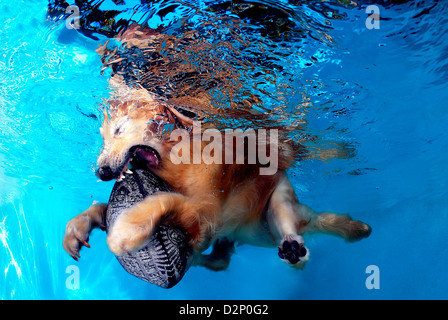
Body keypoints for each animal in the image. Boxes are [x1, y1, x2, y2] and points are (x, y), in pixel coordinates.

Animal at [63, 24, 372, 270]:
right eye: (102, 139)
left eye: (118, 130)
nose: (101, 172)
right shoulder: (201, 226)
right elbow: (105, 206)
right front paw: (79, 226)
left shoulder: (205, 212)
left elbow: (165, 200)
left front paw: (127, 230)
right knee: (219, 261)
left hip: (280, 201)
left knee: (292, 233)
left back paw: (294, 248)